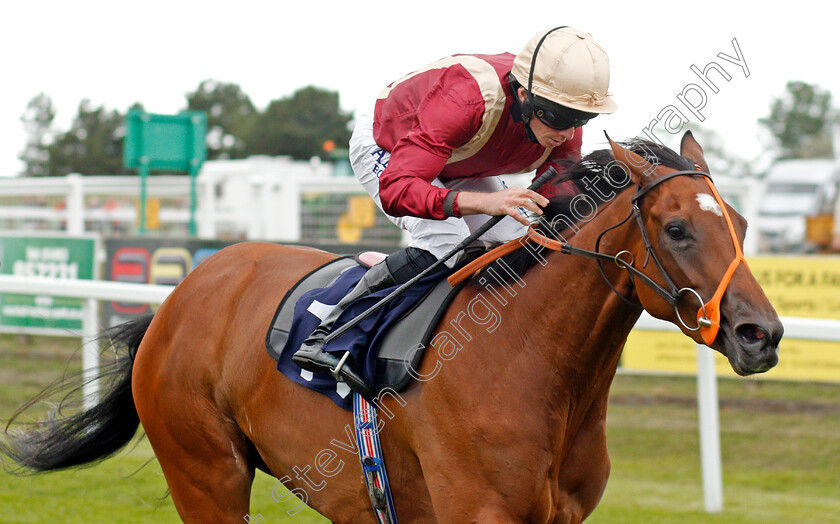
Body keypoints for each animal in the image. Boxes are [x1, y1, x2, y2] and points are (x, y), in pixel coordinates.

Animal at [0, 132, 784, 524]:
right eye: (676, 228)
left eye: (743, 224)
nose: (762, 335)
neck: (533, 365)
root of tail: (182, 295)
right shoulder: (479, 513)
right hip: (205, 472)